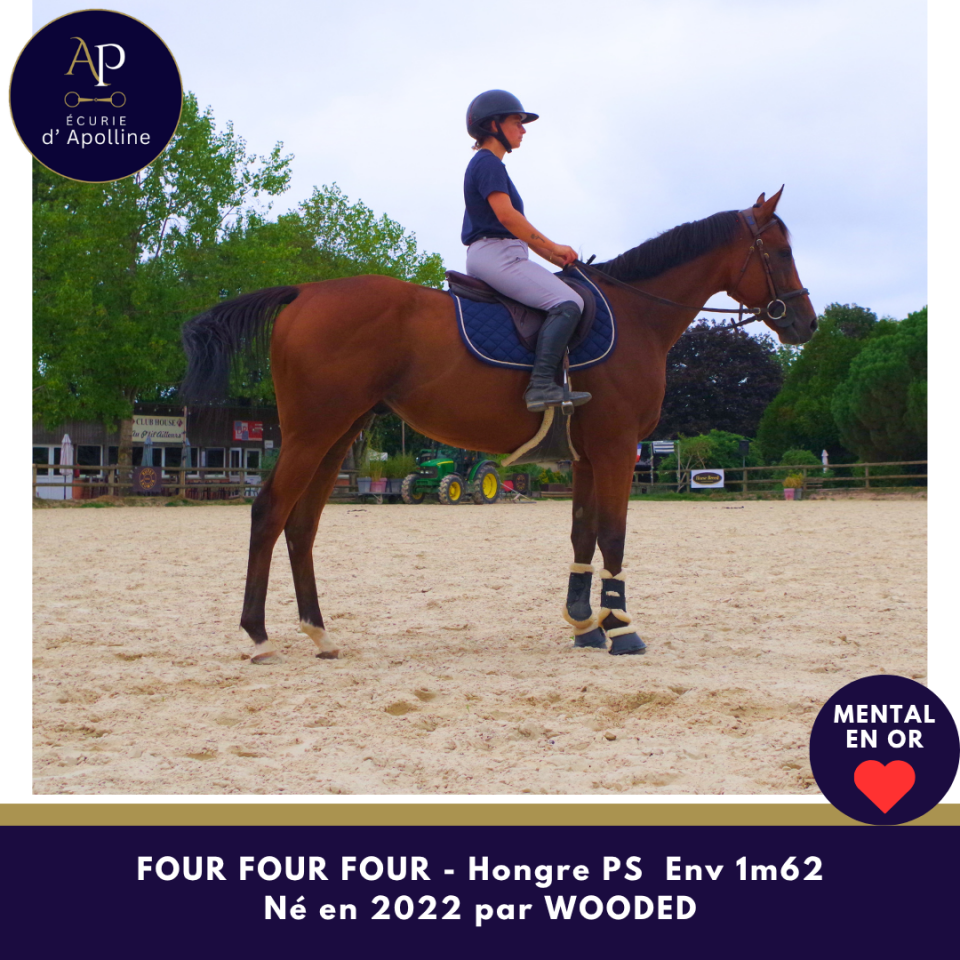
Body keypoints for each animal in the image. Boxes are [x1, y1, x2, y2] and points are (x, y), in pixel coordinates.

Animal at [181, 187, 817, 664]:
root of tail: (306, 291)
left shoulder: (587, 455)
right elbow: (613, 534)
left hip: (338, 434)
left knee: (303, 523)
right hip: (313, 432)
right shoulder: (616, 449)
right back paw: (259, 637)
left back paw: (319, 632)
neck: (636, 314)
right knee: (269, 513)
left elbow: (582, 533)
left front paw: (584, 625)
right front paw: (621, 628)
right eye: (781, 250)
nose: (806, 323)